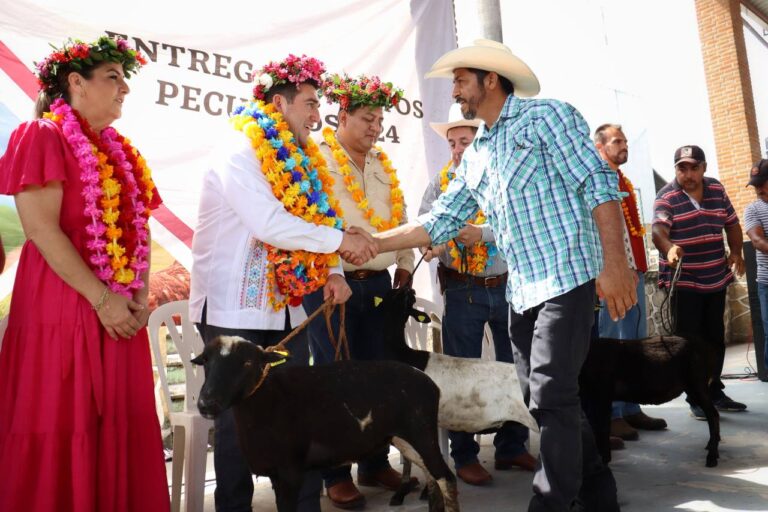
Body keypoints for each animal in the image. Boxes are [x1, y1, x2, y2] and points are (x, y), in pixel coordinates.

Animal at [191, 336, 460, 512]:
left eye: (247, 362)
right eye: (206, 361)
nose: (206, 404)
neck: (267, 399)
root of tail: (428, 381)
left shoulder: (290, 470)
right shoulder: (276, 473)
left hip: (421, 433)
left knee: (446, 478)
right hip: (404, 439)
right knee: (432, 478)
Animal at [584, 336, 720, 468]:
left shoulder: (602, 395)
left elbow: (602, 430)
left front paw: (604, 460)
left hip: (696, 385)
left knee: (713, 415)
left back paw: (712, 456)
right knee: (714, 414)